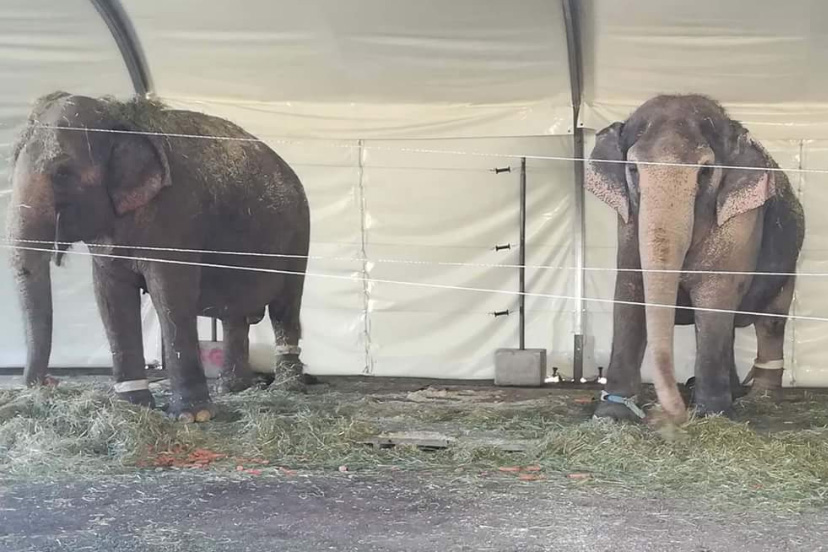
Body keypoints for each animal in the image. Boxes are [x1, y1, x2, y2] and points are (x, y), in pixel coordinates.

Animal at [7, 91, 310, 422]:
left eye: (62, 173)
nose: (50, 381)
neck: (122, 120)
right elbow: (110, 298)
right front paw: (132, 407)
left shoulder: (176, 213)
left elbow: (170, 296)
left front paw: (192, 417)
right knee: (235, 316)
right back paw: (231, 388)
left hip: (299, 233)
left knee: (285, 307)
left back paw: (288, 388)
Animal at [584, 94, 804, 422]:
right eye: (633, 169)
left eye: (705, 171)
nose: (673, 413)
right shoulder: (628, 222)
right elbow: (629, 292)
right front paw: (612, 413)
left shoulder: (740, 221)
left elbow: (714, 296)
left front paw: (713, 415)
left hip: (790, 265)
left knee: (770, 321)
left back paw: (761, 397)